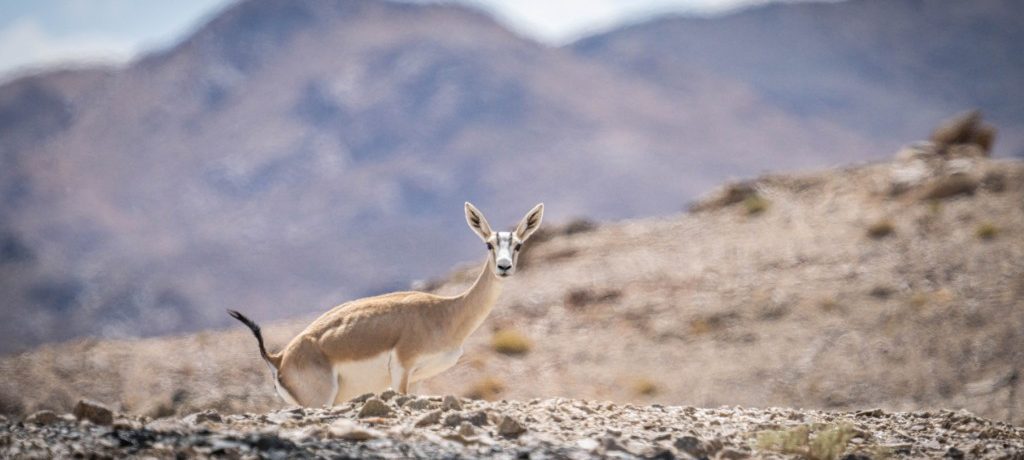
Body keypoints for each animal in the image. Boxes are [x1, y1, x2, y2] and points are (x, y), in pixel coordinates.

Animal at [228, 202, 544, 407]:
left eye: (518, 245)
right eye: (489, 244)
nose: (504, 267)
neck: (445, 312)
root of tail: (280, 357)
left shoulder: (417, 375)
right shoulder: (402, 369)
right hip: (320, 402)